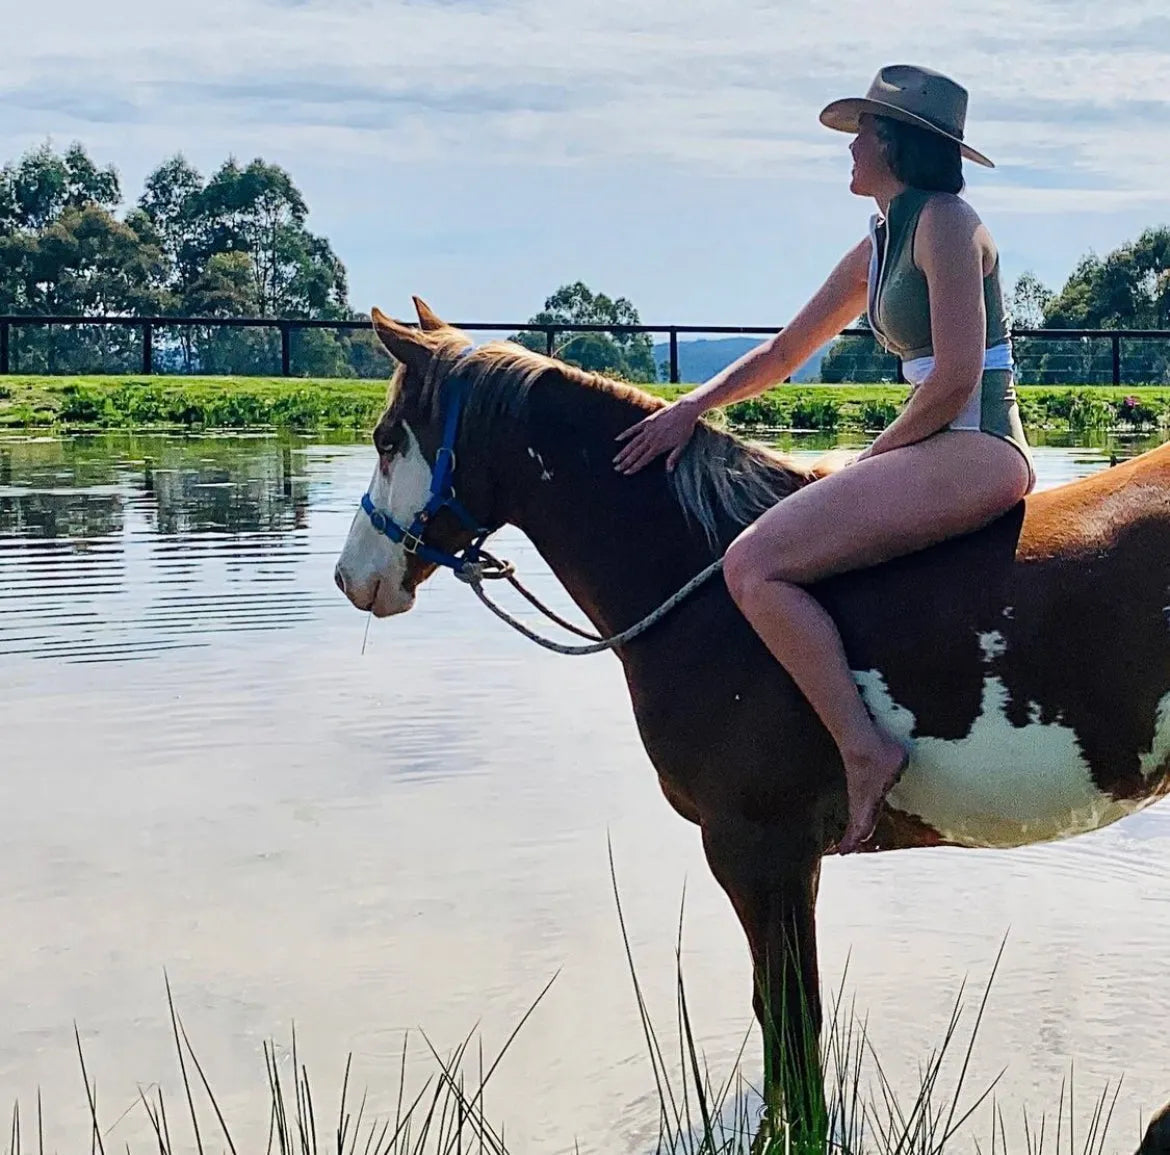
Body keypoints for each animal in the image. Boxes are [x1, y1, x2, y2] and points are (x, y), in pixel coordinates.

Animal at [335, 299, 1170, 1141]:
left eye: (386, 438)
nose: (351, 576)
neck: (703, 582)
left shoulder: (757, 849)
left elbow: (793, 1022)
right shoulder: (786, 862)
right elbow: (783, 1016)